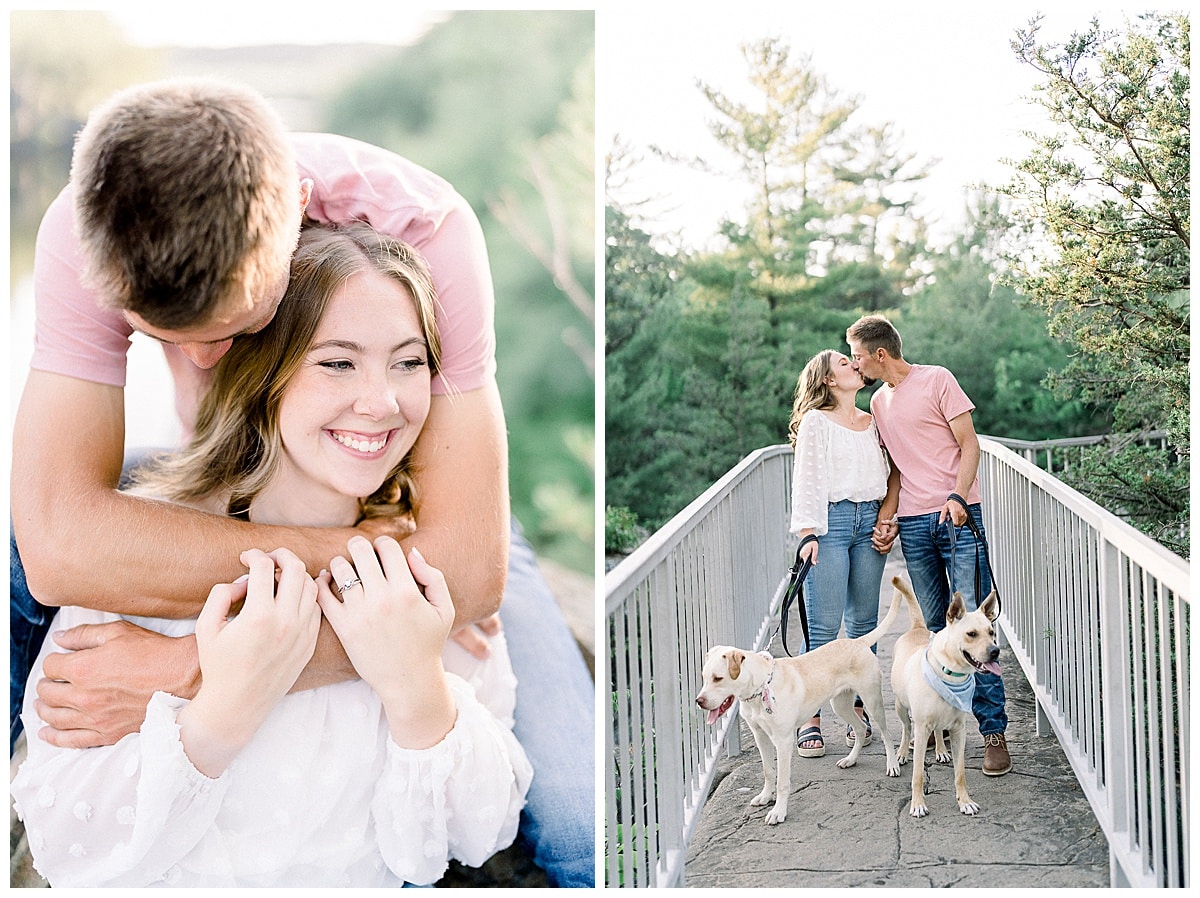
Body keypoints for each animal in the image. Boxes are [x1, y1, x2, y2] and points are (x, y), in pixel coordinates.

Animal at [696, 585, 902, 825]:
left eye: (718, 678)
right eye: (704, 677)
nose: (698, 702)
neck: (760, 689)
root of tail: (857, 642)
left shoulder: (783, 741)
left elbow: (782, 781)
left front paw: (778, 811)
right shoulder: (760, 736)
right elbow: (768, 771)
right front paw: (765, 797)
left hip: (872, 700)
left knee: (886, 734)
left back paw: (893, 764)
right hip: (840, 704)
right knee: (860, 729)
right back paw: (850, 760)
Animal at [892, 578, 1003, 816]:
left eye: (991, 632)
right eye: (971, 634)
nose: (995, 651)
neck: (951, 673)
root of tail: (917, 628)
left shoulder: (958, 729)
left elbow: (960, 772)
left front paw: (965, 801)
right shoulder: (921, 729)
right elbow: (918, 774)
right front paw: (918, 804)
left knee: (938, 730)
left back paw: (942, 750)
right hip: (900, 706)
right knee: (906, 727)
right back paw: (902, 752)